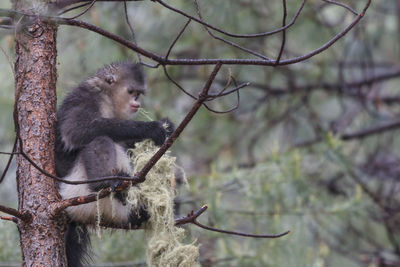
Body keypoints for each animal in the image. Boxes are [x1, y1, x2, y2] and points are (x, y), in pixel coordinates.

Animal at [54, 62, 173, 267]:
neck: (106, 96)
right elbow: (75, 131)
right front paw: (152, 128)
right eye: (131, 92)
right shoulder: (87, 98)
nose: (136, 103)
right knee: (100, 139)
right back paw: (106, 183)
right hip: (77, 192)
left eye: (138, 94)